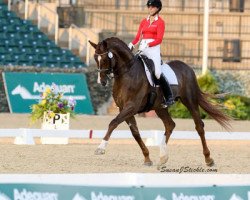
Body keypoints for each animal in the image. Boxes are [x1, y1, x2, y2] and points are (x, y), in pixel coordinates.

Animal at [89, 37, 231, 167]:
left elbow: (113, 123)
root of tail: (188, 68)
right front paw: (147, 158)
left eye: (105, 59)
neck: (127, 72)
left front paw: (100, 148)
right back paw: (163, 156)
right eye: (95, 58)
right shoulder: (123, 108)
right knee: (170, 125)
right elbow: (135, 132)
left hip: (190, 101)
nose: (101, 82)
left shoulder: (131, 106)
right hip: (160, 107)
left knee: (199, 126)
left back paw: (208, 159)